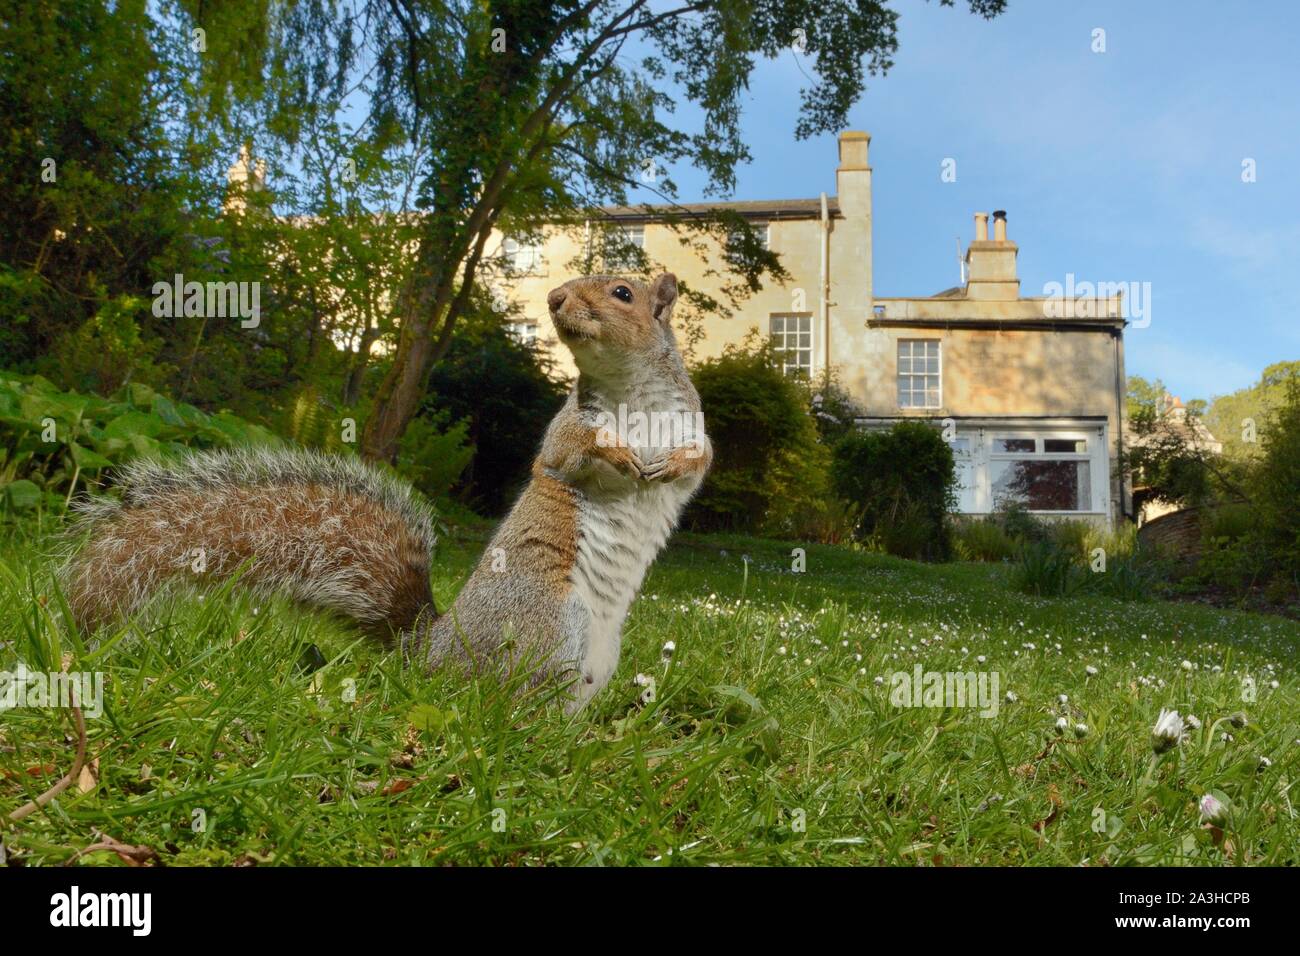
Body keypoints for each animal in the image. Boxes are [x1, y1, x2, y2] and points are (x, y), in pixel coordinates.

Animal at [63, 273, 712, 707]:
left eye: (623, 293)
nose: (554, 299)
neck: (632, 392)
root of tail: (431, 651)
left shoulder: (692, 423)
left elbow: (701, 460)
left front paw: (669, 464)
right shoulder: (566, 430)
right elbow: (568, 451)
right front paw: (620, 454)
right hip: (551, 624)